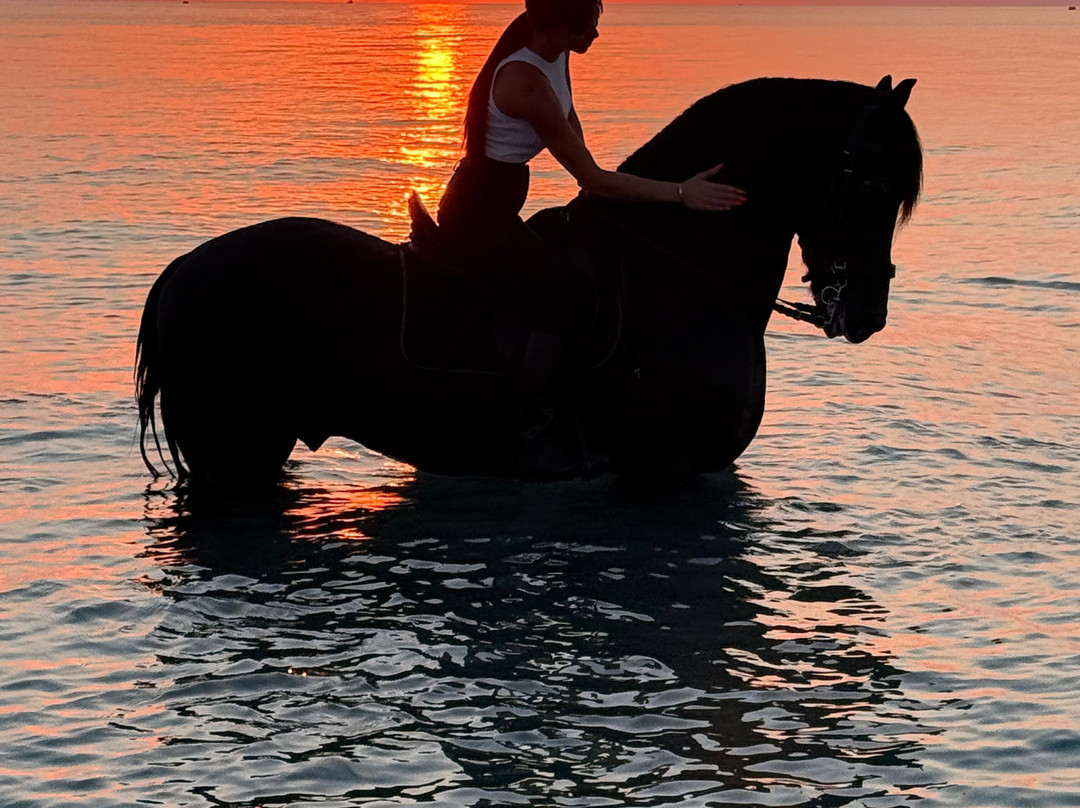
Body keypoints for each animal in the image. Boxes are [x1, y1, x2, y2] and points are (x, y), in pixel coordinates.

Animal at [135, 76, 922, 485]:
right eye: (868, 183)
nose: (867, 312)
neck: (680, 273)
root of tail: (180, 272)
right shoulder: (669, 472)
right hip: (232, 453)